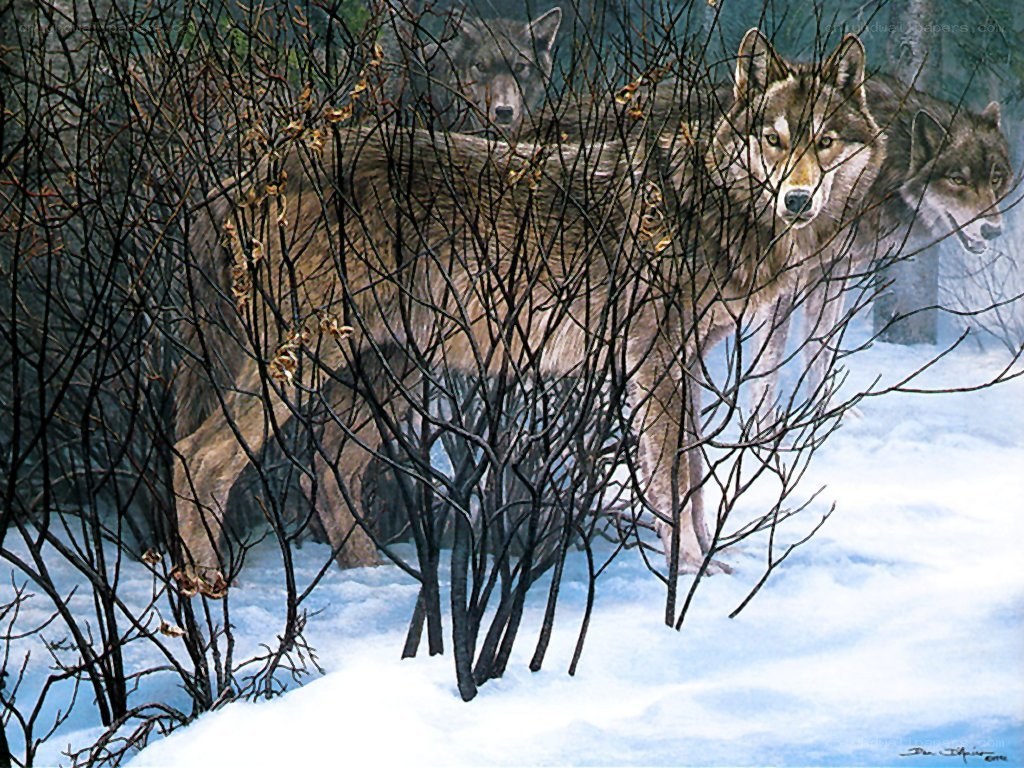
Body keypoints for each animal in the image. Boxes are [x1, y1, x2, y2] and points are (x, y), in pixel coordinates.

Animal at [172, 29, 884, 596]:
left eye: (824, 142)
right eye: (773, 139)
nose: (797, 201)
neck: (703, 206)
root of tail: (247, 172)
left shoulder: (680, 366)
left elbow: (692, 486)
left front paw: (710, 572)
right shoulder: (653, 366)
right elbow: (674, 489)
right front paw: (692, 578)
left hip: (387, 369)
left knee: (327, 467)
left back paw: (375, 583)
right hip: (300, 366)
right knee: (196, 457)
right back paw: (210, 595)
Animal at [749, 76, 1012, 421]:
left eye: (995, 179)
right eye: (957, 180)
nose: (992, 231)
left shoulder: (833, 271)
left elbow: (821, 346)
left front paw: (822, 414)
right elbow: (767, 364)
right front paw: (762, 429)